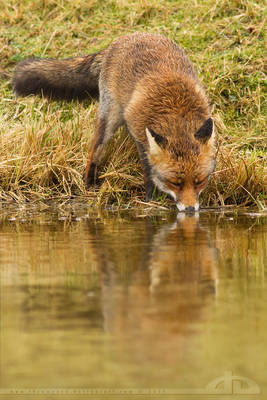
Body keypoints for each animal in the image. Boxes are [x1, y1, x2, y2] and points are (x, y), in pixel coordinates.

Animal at [13, 32, 217, 212]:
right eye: (175, 183)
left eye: (200, 181)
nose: (190, 210)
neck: (176, 115)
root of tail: (124, 39)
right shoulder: (140, 136)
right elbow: (148, 170)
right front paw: (150, 198)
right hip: (109, 118)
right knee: (95, 151)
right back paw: (89, 182)